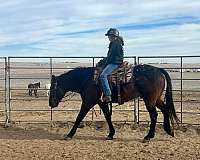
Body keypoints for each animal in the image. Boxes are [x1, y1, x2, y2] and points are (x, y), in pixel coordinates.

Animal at [48, 63, 180, 141]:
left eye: (52, 88)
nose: (51, 104)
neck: (86, 80)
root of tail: (159, 70)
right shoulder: (102, 102)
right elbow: (107, 116)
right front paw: (111, 134)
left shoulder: (88, 102)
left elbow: (79, 117)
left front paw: (69, 134)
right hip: (156, 99)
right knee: (165, 110)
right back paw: (169, 131)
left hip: (149, 100)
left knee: (154, 115)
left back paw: (149, 136)